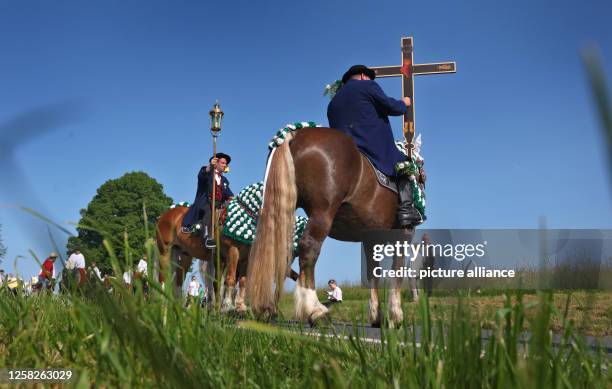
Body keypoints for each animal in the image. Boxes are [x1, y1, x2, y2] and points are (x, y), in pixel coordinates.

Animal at [244, 127, 412, 324]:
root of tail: (295, 134)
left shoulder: (370, 239)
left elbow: (373, 271)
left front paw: (376, 314)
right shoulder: (402, 235)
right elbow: (397, 269)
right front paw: (395, 315)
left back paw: (268, 309)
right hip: (321, 213)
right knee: (308, 250)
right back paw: (315, 309)